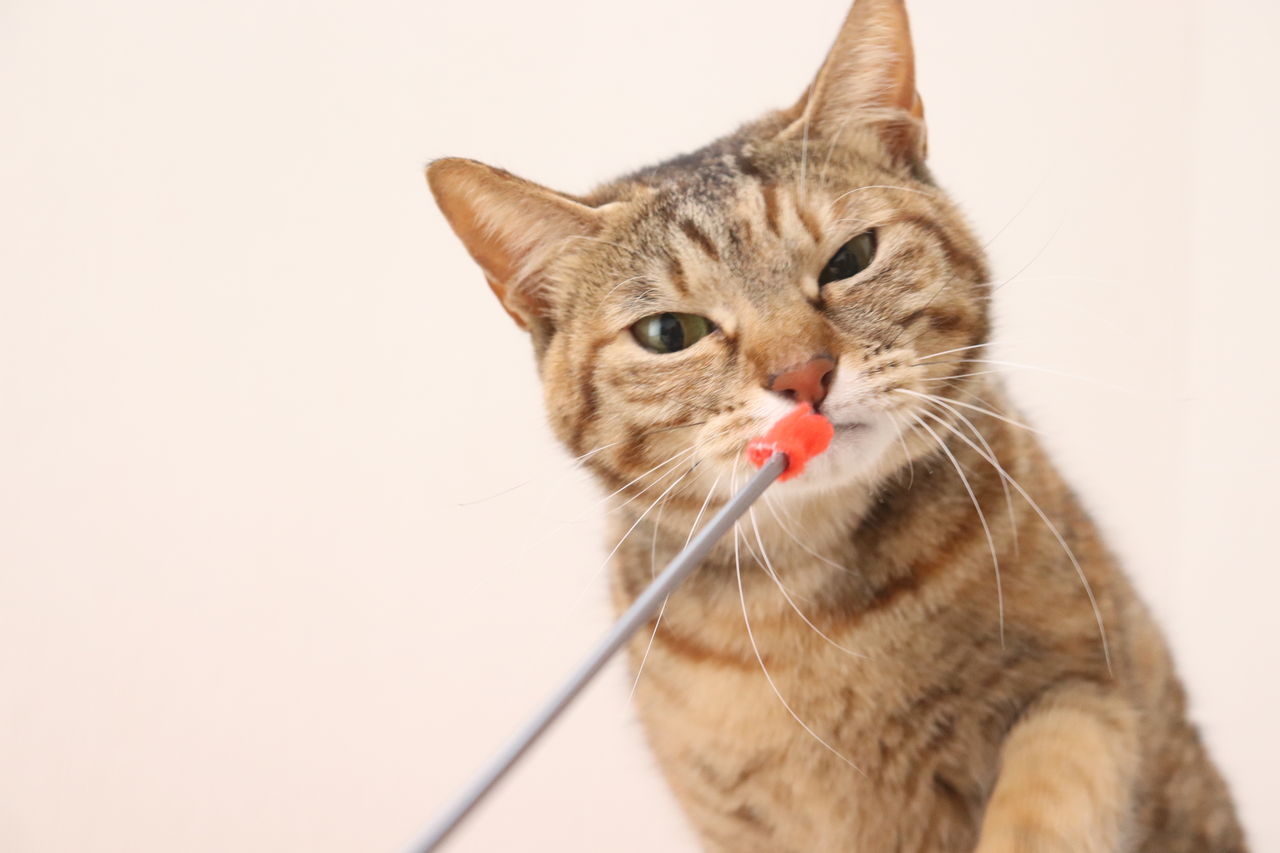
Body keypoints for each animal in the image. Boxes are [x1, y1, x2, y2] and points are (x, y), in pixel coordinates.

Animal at [425, 0, 1246, 850]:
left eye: (851, 257)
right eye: (669, 333)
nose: (804, 375)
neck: (811, 610)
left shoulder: (1090, 683)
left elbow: (1052, 781)